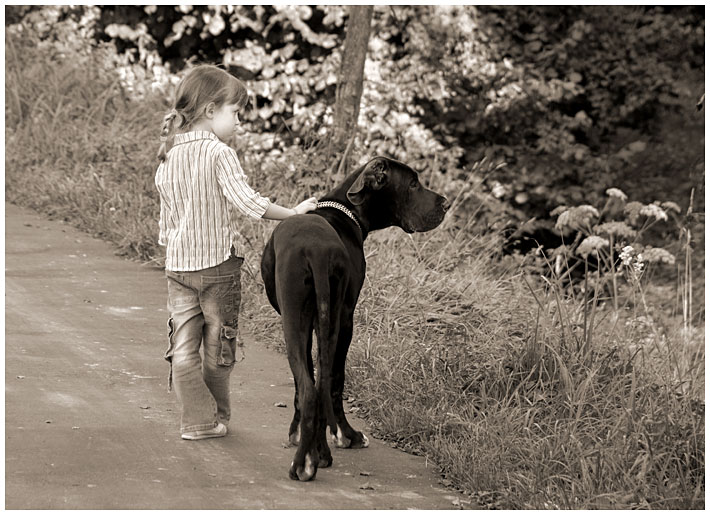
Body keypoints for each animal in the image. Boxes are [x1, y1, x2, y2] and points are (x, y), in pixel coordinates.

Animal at [262, 158, 450, 484]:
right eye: (413, 184)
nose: (446, 203)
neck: (345, 210)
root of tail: (316, 251)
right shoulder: (344, 317)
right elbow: (333, 380)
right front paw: (343, 435)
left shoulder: (317, 320)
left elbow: (310, 382)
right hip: (327, 320)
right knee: (322, 385)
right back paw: (318, 455)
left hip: (301, 321)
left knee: (313, 387)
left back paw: (309, 459)